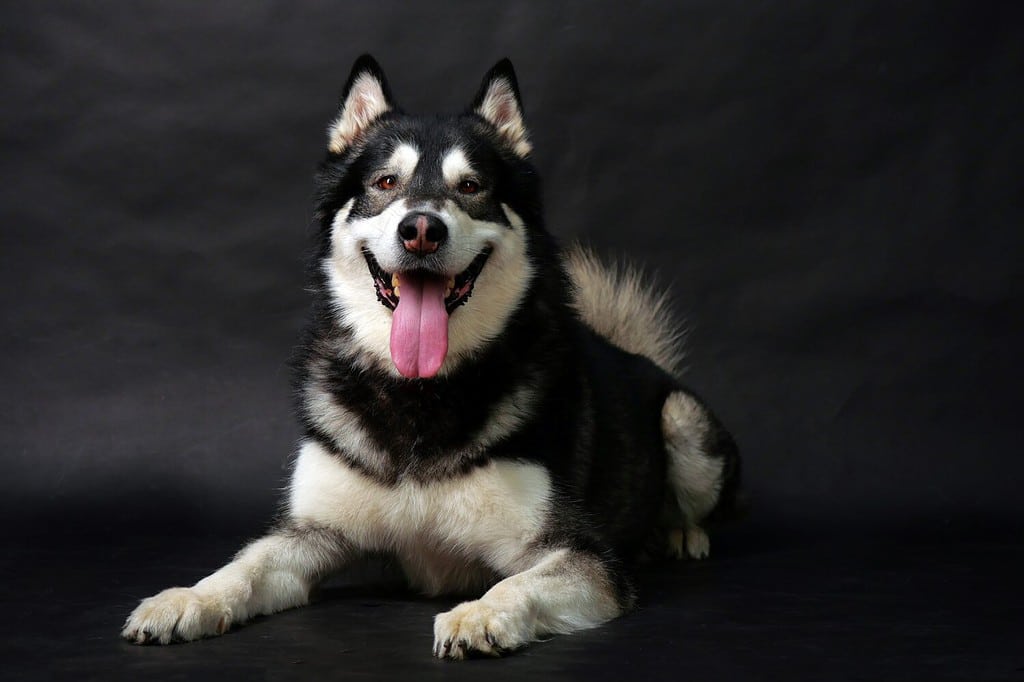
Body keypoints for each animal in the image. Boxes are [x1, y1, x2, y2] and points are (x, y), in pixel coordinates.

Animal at [121, 55, 737, 655]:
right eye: (385, 181)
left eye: (471, 186)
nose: (421, 228)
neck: (416, 393)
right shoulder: (313, 531)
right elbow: (243, 566)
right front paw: (187, 599)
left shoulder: (580, 554)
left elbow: (520, 582)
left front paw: (481, 614)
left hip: (683, 421)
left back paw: (681, 532)